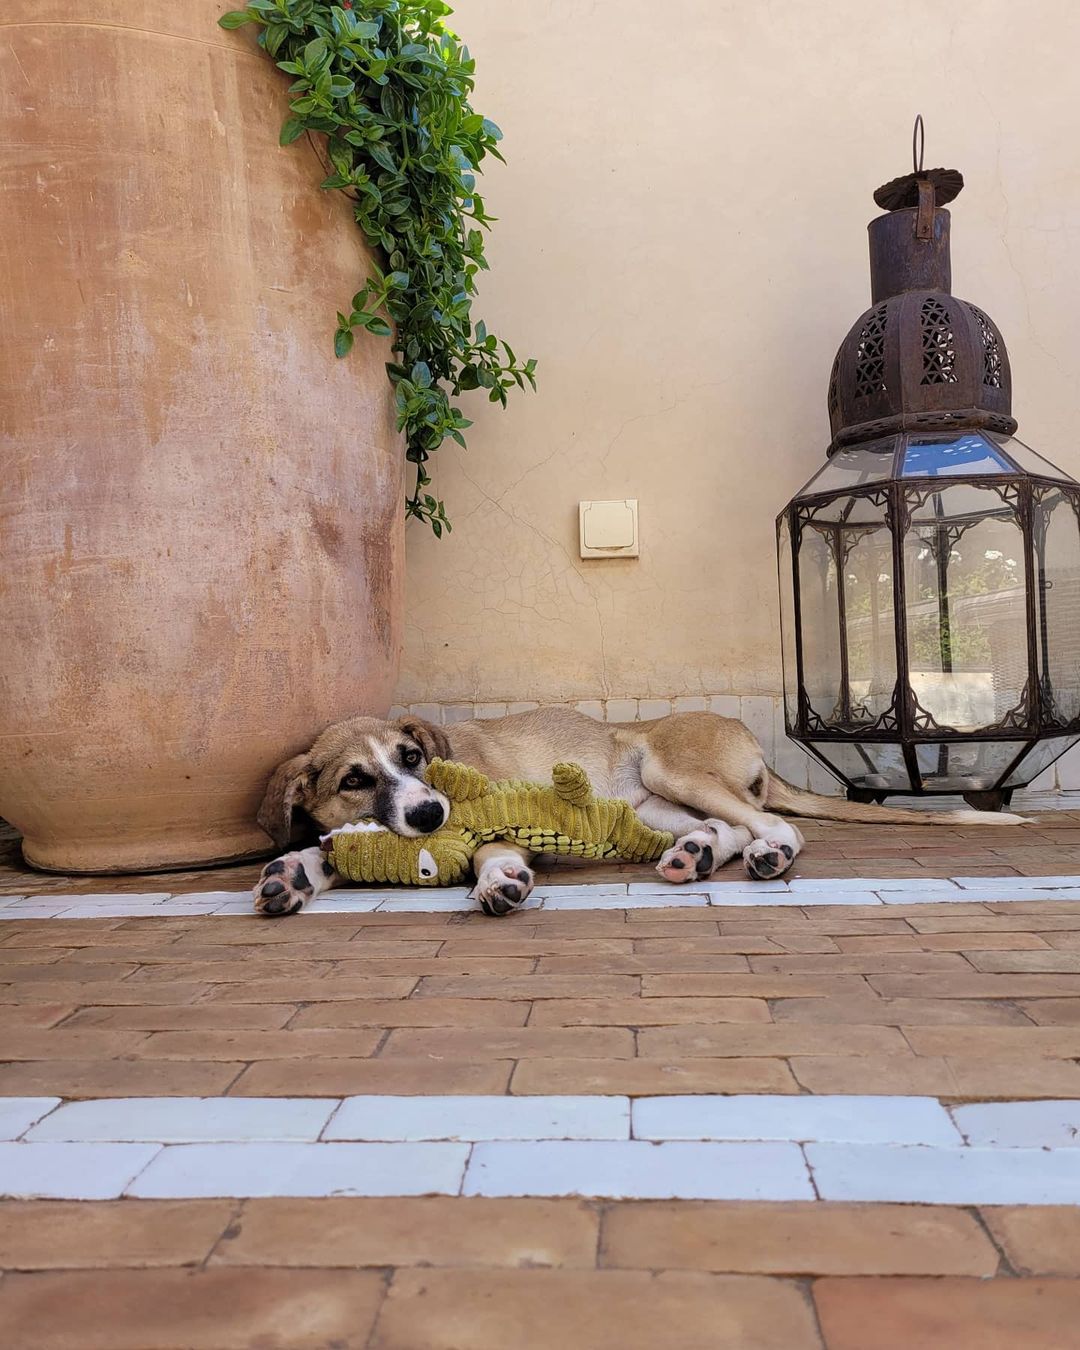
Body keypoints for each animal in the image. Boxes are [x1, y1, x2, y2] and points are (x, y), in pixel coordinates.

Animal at [251, 707, 1027, 916]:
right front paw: (292, 874)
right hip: (658, 806)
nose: (430, 816)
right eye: (355, 779)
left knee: (777, 827)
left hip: (668, 767)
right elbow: (324, 849)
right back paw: (699, 857)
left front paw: (498, 878)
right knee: (726, 828)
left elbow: (493, 849)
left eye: (411, 757)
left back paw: (767, 856)